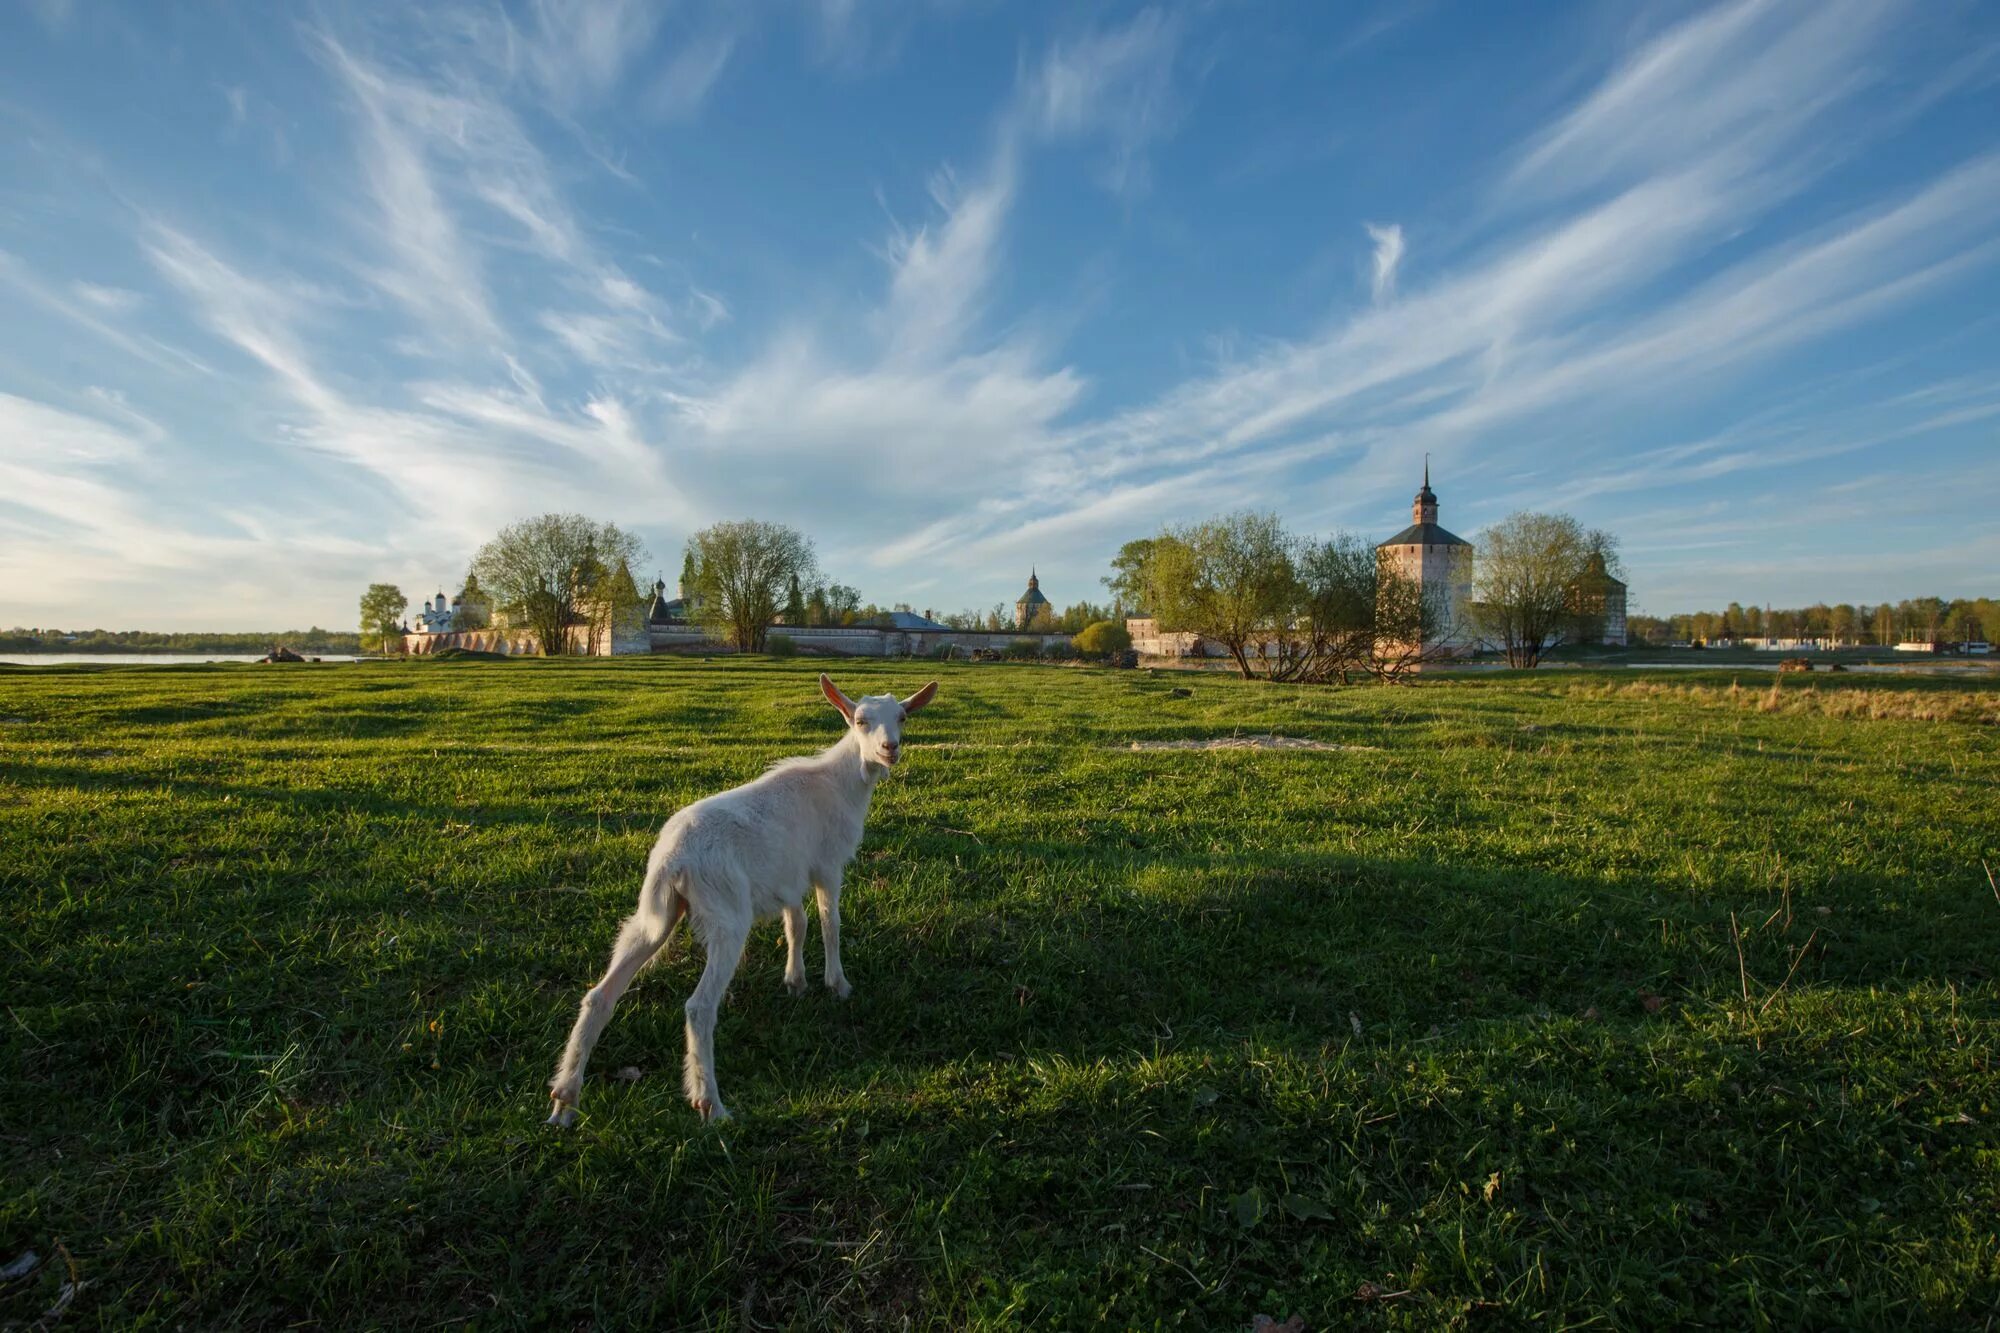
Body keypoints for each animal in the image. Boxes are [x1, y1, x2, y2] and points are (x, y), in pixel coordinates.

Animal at [548, 676, 936, 1120]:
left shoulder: (787, 874)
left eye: (902, 717)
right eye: (860, 720)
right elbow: (829, 923)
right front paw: (837, 984)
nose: (890, 748)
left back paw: (565, 1099)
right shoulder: (827, 864)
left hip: (655, 913)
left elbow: (796, 924)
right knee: (699, 1007)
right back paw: (711, 1105)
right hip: (726, 914)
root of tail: (673, 859)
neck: (840, 782)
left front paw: (796, 981)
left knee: (601, 994)